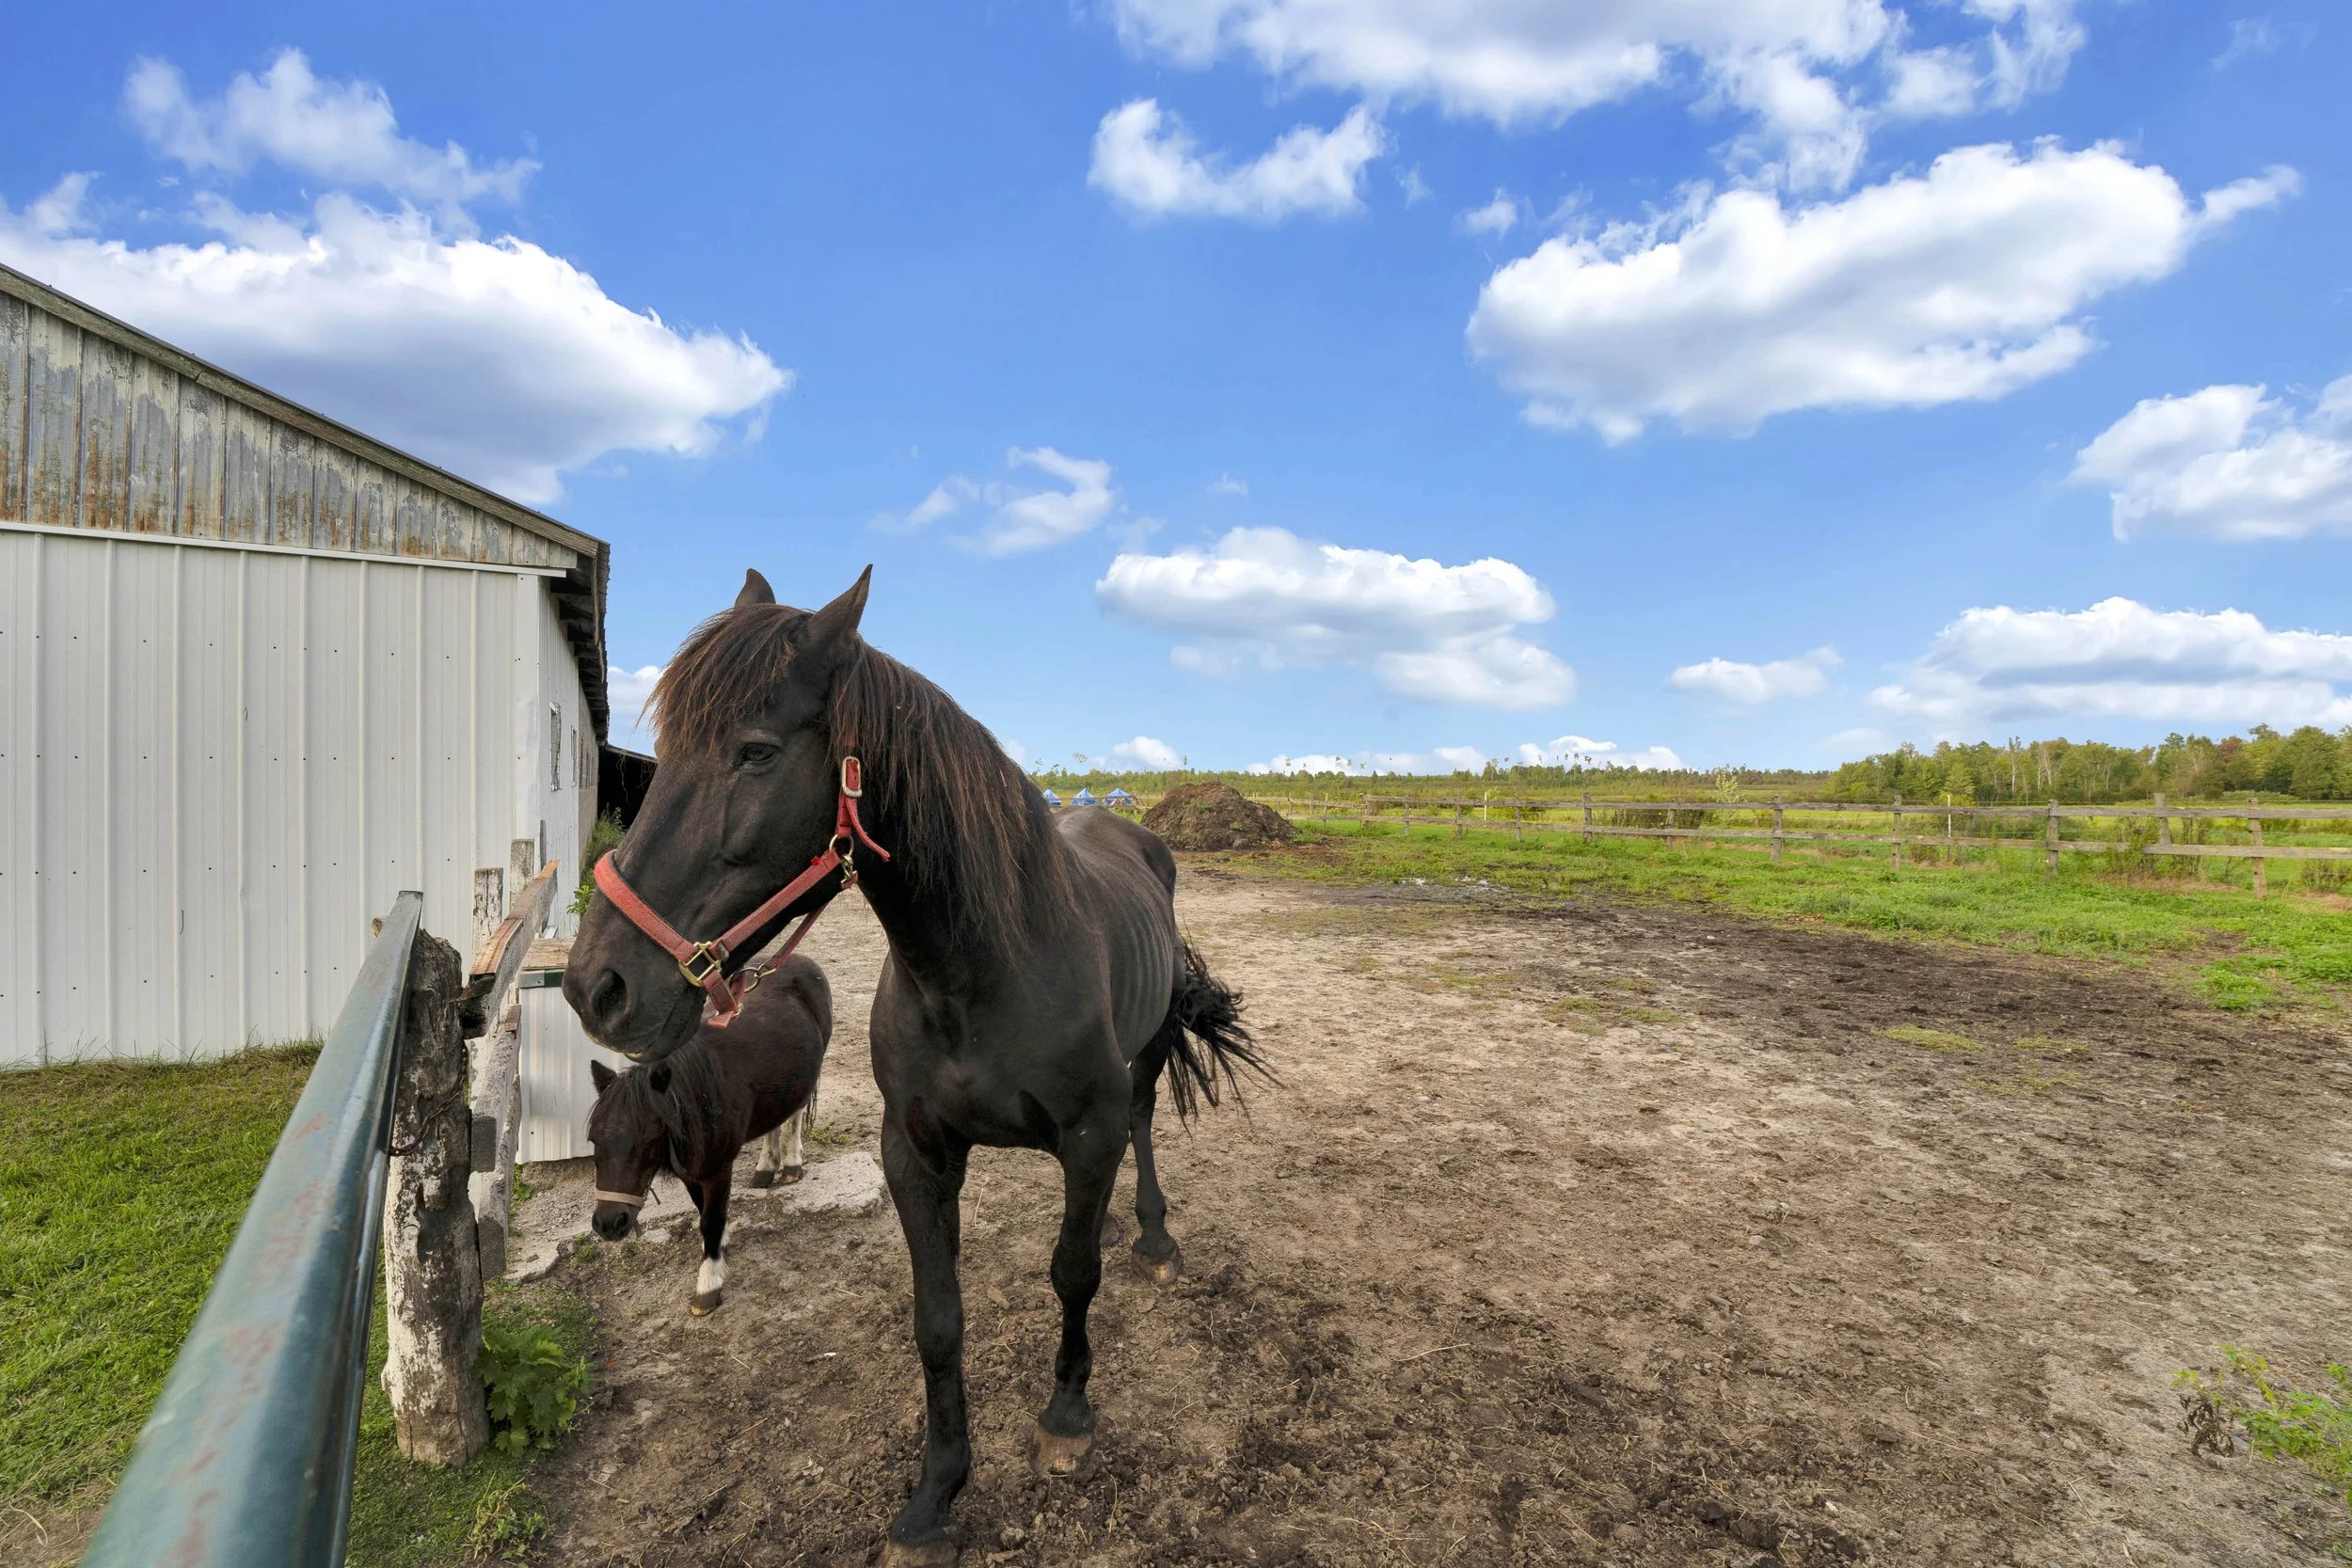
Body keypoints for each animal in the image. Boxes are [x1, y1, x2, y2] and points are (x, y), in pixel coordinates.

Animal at [584, 952, 832, 1315]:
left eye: (647, 1142)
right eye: (594, 1141)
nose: (608, 1223)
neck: (699, 1097)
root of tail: (801, 959)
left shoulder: (717, 1168)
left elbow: (710, 1220)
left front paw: (708, 1284)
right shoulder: (691, 1169)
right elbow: (703, 1211)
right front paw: (720, 1246)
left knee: (795, 1116)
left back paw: (791, 1163)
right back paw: (765, 1168)